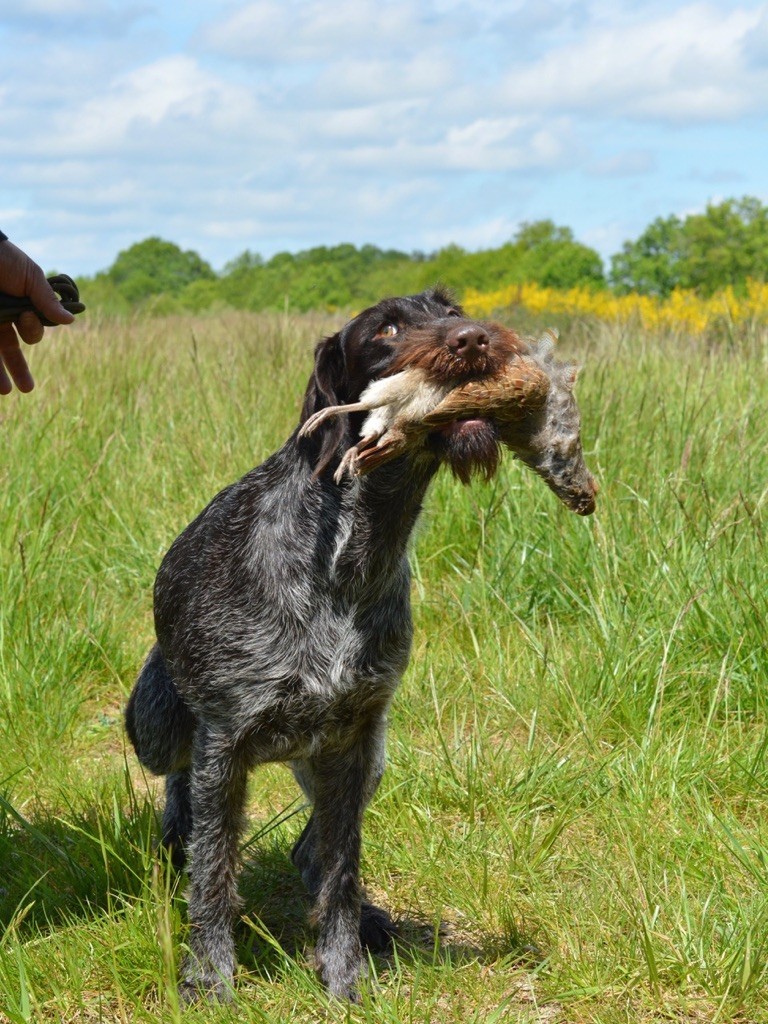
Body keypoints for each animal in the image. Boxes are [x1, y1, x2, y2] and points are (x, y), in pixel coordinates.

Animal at [126, 284, 598, 1003]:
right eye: (386, 331)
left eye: (452, 309)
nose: (473, 340)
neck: (351, 554)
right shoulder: (223, 741)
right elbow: (214, 878)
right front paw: (209, 979)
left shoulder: (353, 741)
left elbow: (342, 874)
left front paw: (343, 976)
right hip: (156, 725)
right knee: (181, 787)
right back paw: (176, 833)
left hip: (367, 754)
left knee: (310, 849)